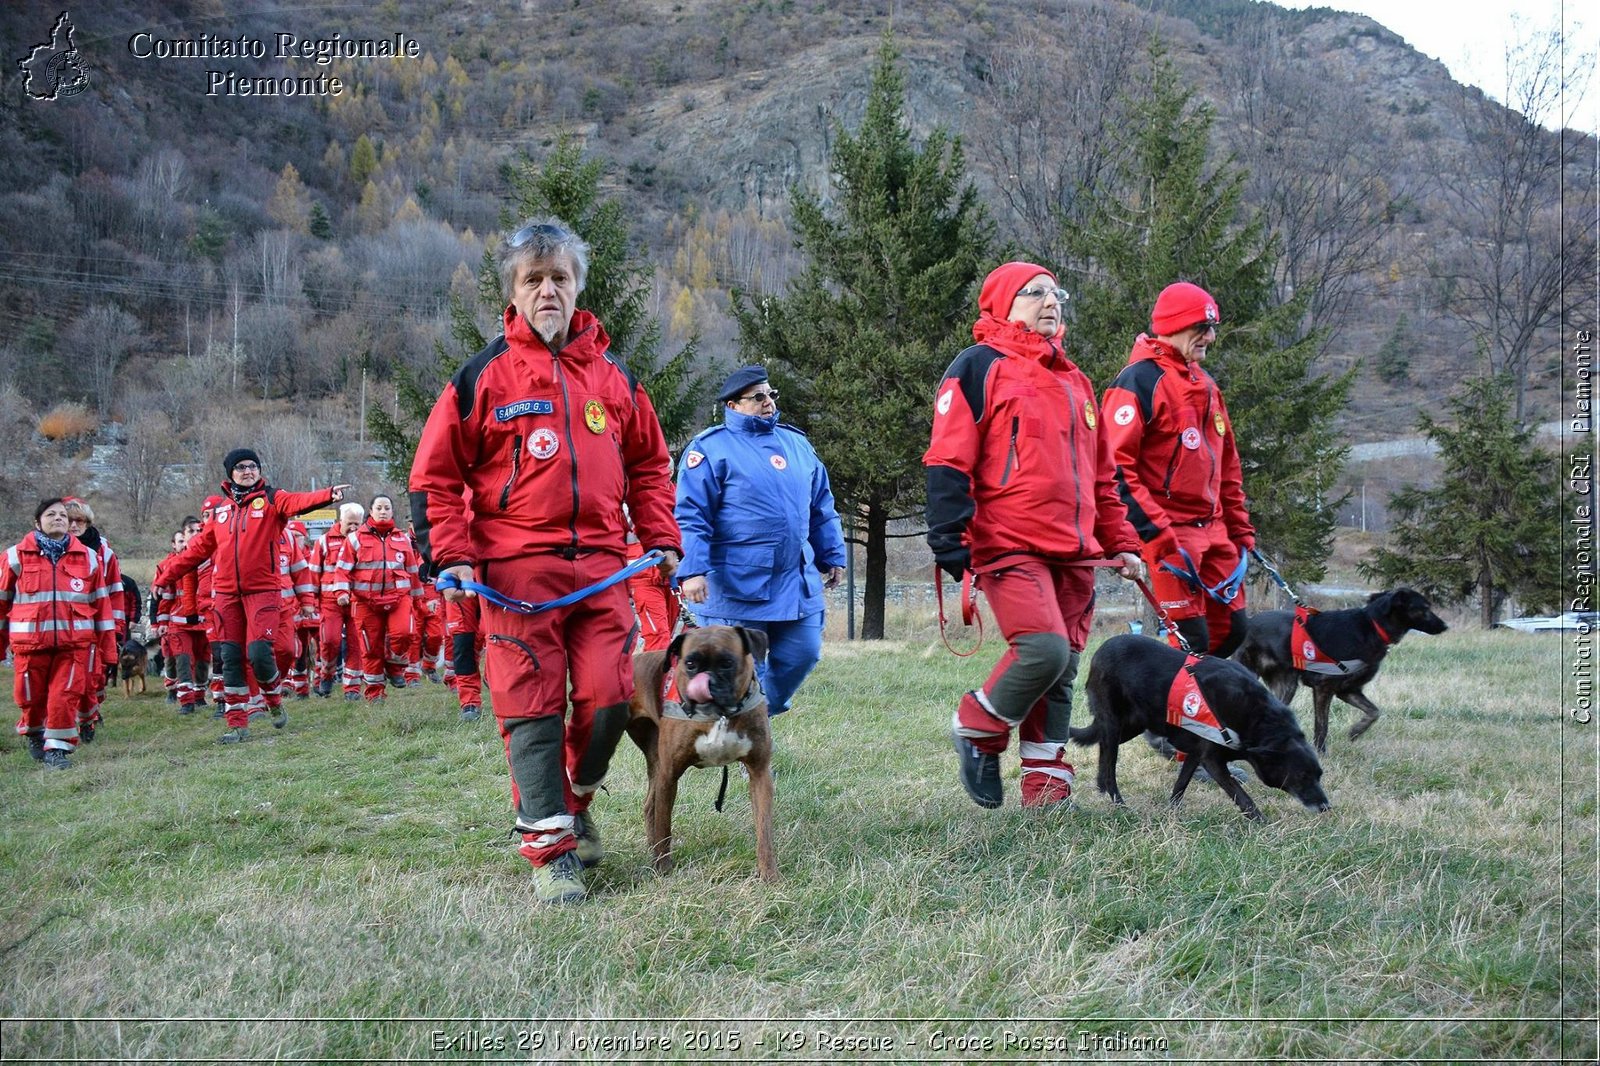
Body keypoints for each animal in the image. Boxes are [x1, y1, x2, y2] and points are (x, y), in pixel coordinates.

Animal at [624, 624, 774, 877]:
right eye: (690, 664)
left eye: (727, 663)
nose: (707, 682)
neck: (719, 716)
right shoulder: (669, 776)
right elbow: (664, 826)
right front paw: (664, 870)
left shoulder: (760, 773)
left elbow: (764, 830)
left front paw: (769, 875)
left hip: (654, 760)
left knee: (649, 806)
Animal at [1081, 633, 1331, 816]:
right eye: (1301, 776)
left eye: (1319, 775)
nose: (1326, 807)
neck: (1256, 718)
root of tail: (1102, 649)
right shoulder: (1212, 760)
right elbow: (1242, 797)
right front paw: (1262, 823)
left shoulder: (1196, 752)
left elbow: (1181, 784)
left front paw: (1172, 812)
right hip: (1114, 723)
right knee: (1110, 761)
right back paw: (1118, 802)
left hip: (1132, 726)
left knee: (1103, 747)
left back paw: (1101, 785)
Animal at [1235, 585, 1452, 752]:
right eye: (1424, 608)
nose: (1445, 626)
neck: (1374, 626)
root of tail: (1249, 622)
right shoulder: (1324, 688)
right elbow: (1322, 725)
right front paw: (1321, 752)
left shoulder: (1348, 690)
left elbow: (1374, 712)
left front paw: (1356, 731)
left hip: (1286, 685)